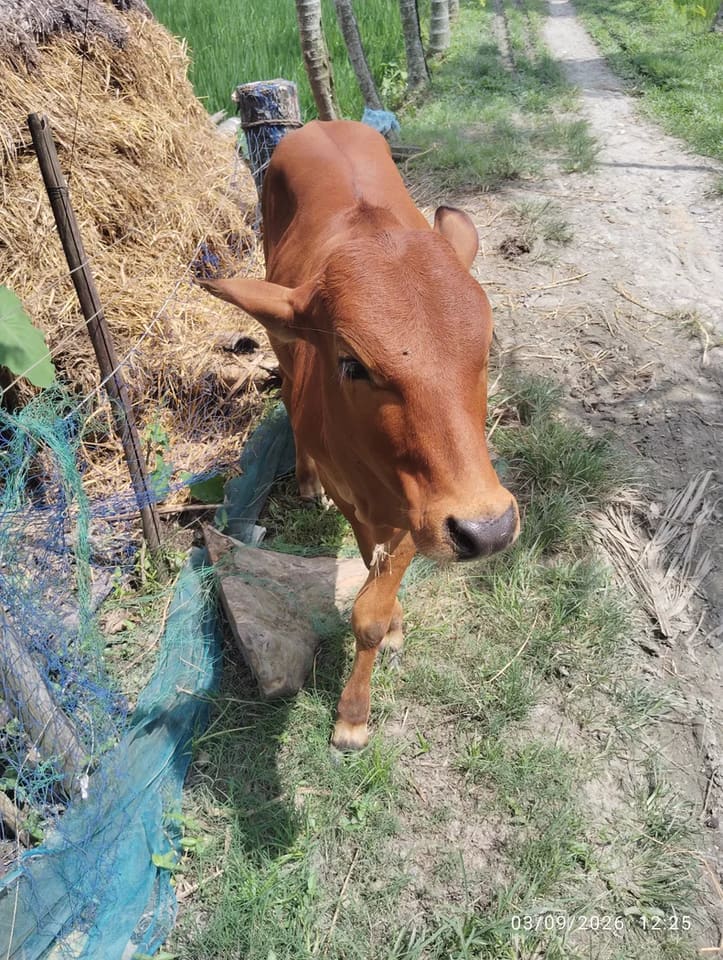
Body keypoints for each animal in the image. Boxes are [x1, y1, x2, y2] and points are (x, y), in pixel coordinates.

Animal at [201, 119, 519, 750]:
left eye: (486, 344)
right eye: (351, 364)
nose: (488, 530)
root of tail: (319, 124)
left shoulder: (421, 512)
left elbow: (378, 597)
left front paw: (388, 630)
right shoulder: (369, 502)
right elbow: (366, 596)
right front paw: (353, 713)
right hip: (276, 329)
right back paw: (303, 479)